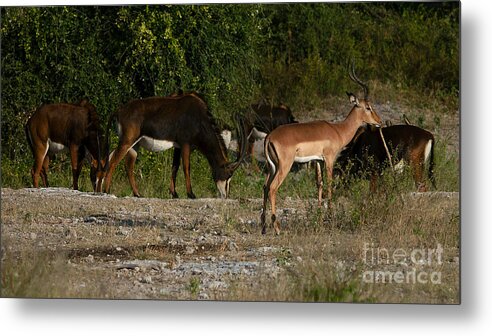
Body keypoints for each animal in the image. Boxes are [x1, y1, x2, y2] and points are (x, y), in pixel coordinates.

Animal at [105, 92, 248, 198]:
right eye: (228, 175)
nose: (225, 196)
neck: (199, 117)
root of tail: (119, 111)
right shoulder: (185, 144)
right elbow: (186, 167)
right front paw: (191, 194)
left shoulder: (178, 147)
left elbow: (175, 167)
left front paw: (174, 193)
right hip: (127, 141)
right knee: (113, 161)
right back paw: (106, 190)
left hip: (134, 145)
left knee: (127, 165)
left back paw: (137, 194)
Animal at [260, 64, 382, 235]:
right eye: (368, 107)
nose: (379, 121)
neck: (338, 130)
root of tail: (270, 137)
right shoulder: (329, 159)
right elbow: (330, 183)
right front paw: (330, 214)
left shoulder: (317, 160)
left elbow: (319, 183)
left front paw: (318, 215)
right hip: (284, 166)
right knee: (272, 188)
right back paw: (277, 228)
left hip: (272, 166)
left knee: (265, 187)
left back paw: (263, 227)